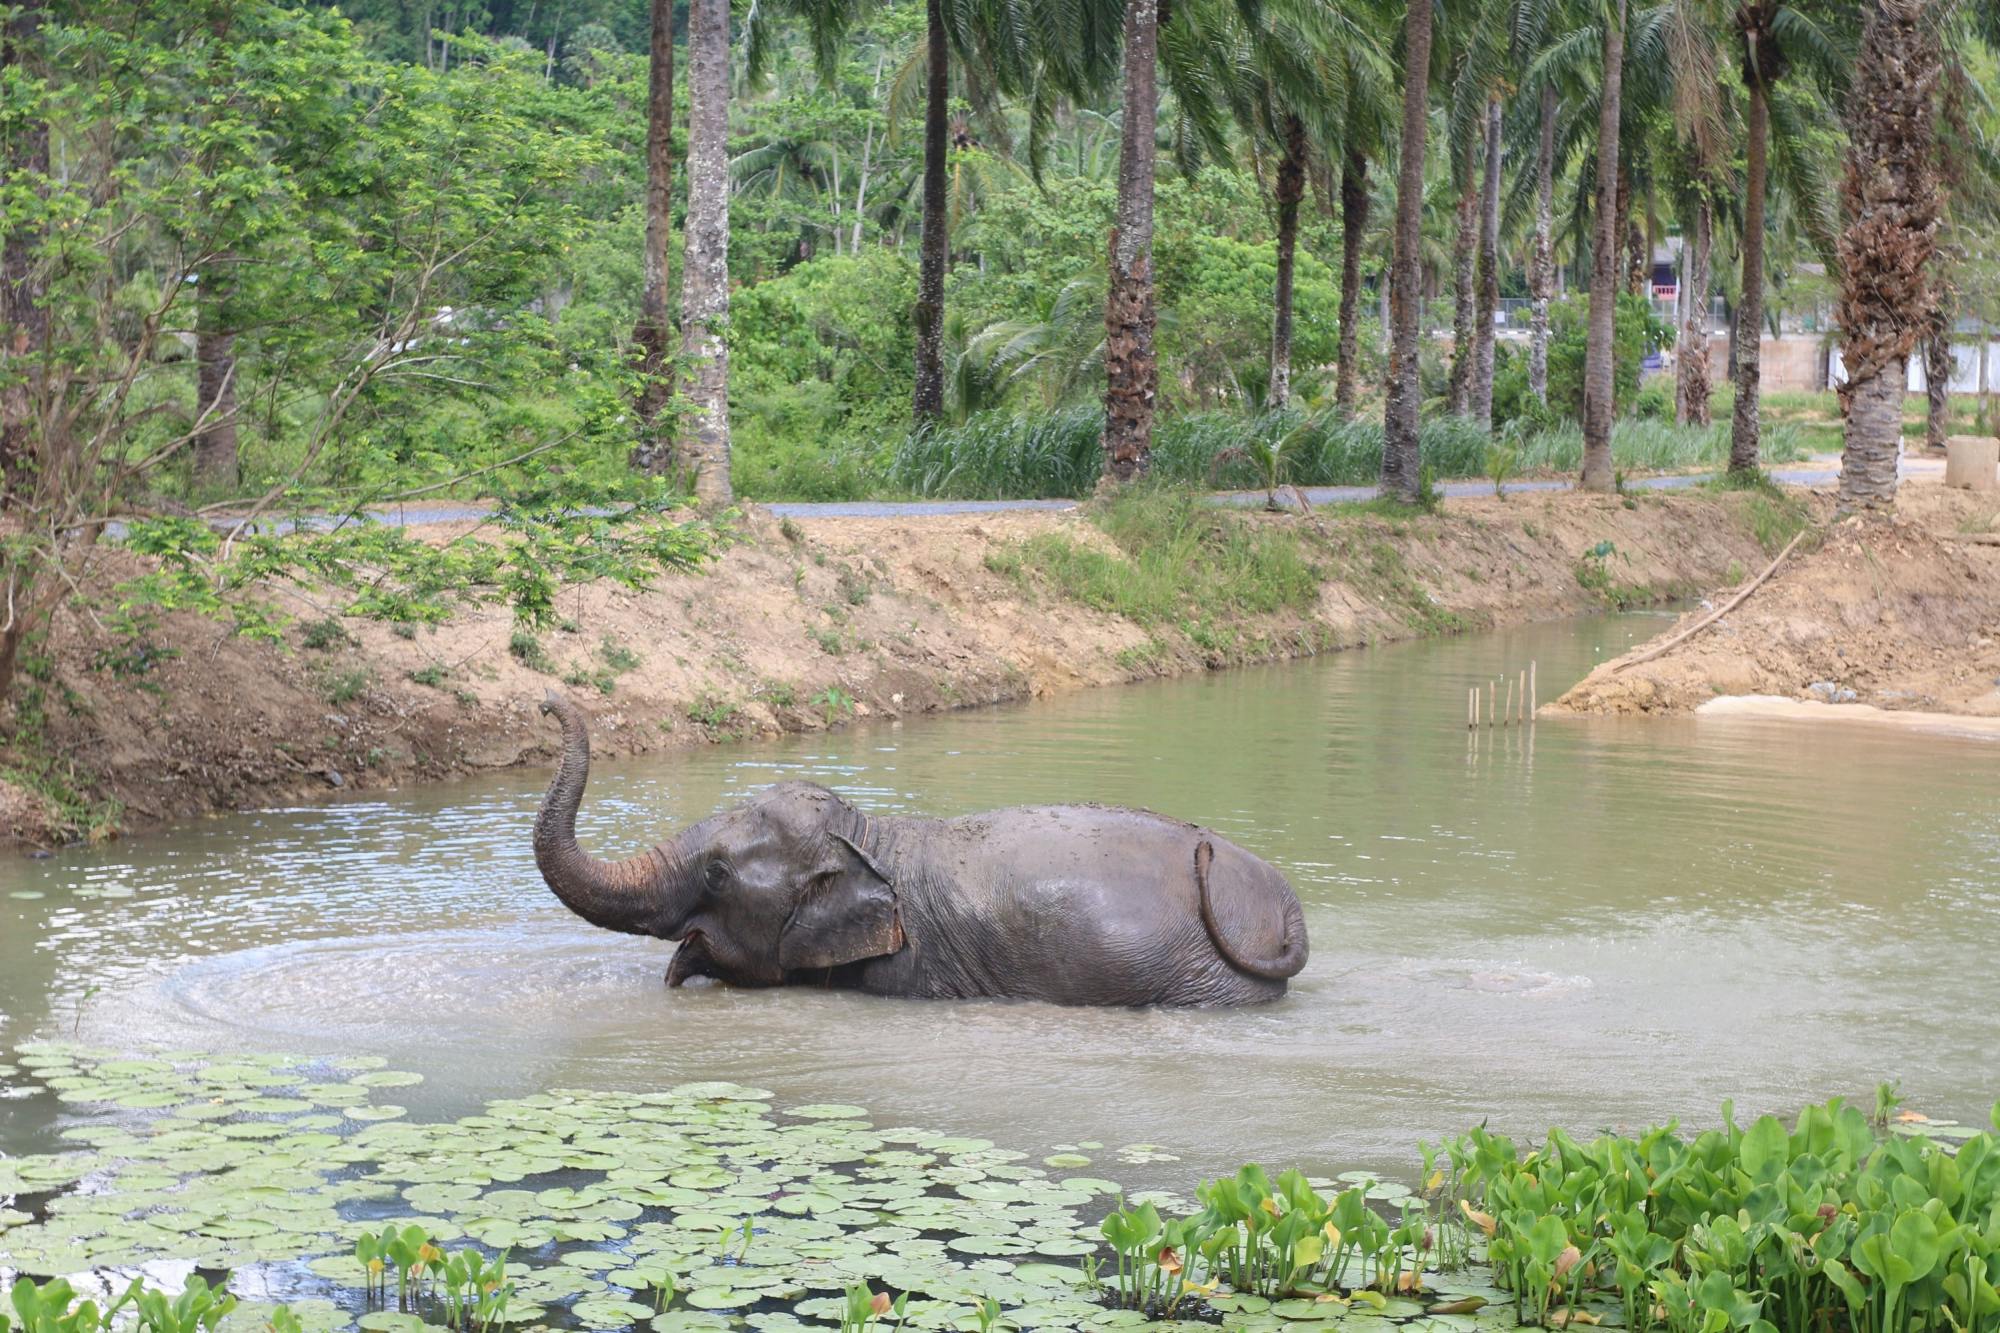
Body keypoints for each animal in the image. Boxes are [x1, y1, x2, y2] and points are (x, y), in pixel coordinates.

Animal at [533, 692, 1308, 1006]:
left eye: (718, 873)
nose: (544, 700)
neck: (872, 837)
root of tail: (1278, 898)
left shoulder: (907, 968)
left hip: (1201, 978)